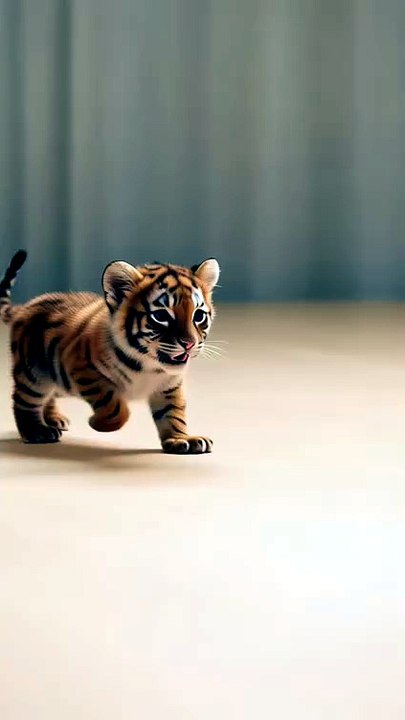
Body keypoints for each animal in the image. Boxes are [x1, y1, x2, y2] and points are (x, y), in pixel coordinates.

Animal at [0, 250, 220, 454]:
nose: (189, 343)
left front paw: (180, 439)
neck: (150, 365)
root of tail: (24, 307)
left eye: (198, 316)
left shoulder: (169, 386)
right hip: (35, 375)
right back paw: (36, 431)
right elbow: (116, 408)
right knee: (24, 402)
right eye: (161, 316)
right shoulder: (82, 368)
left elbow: (173, 413)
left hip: (56, 383)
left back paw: (54, 419)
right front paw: (97, 423)